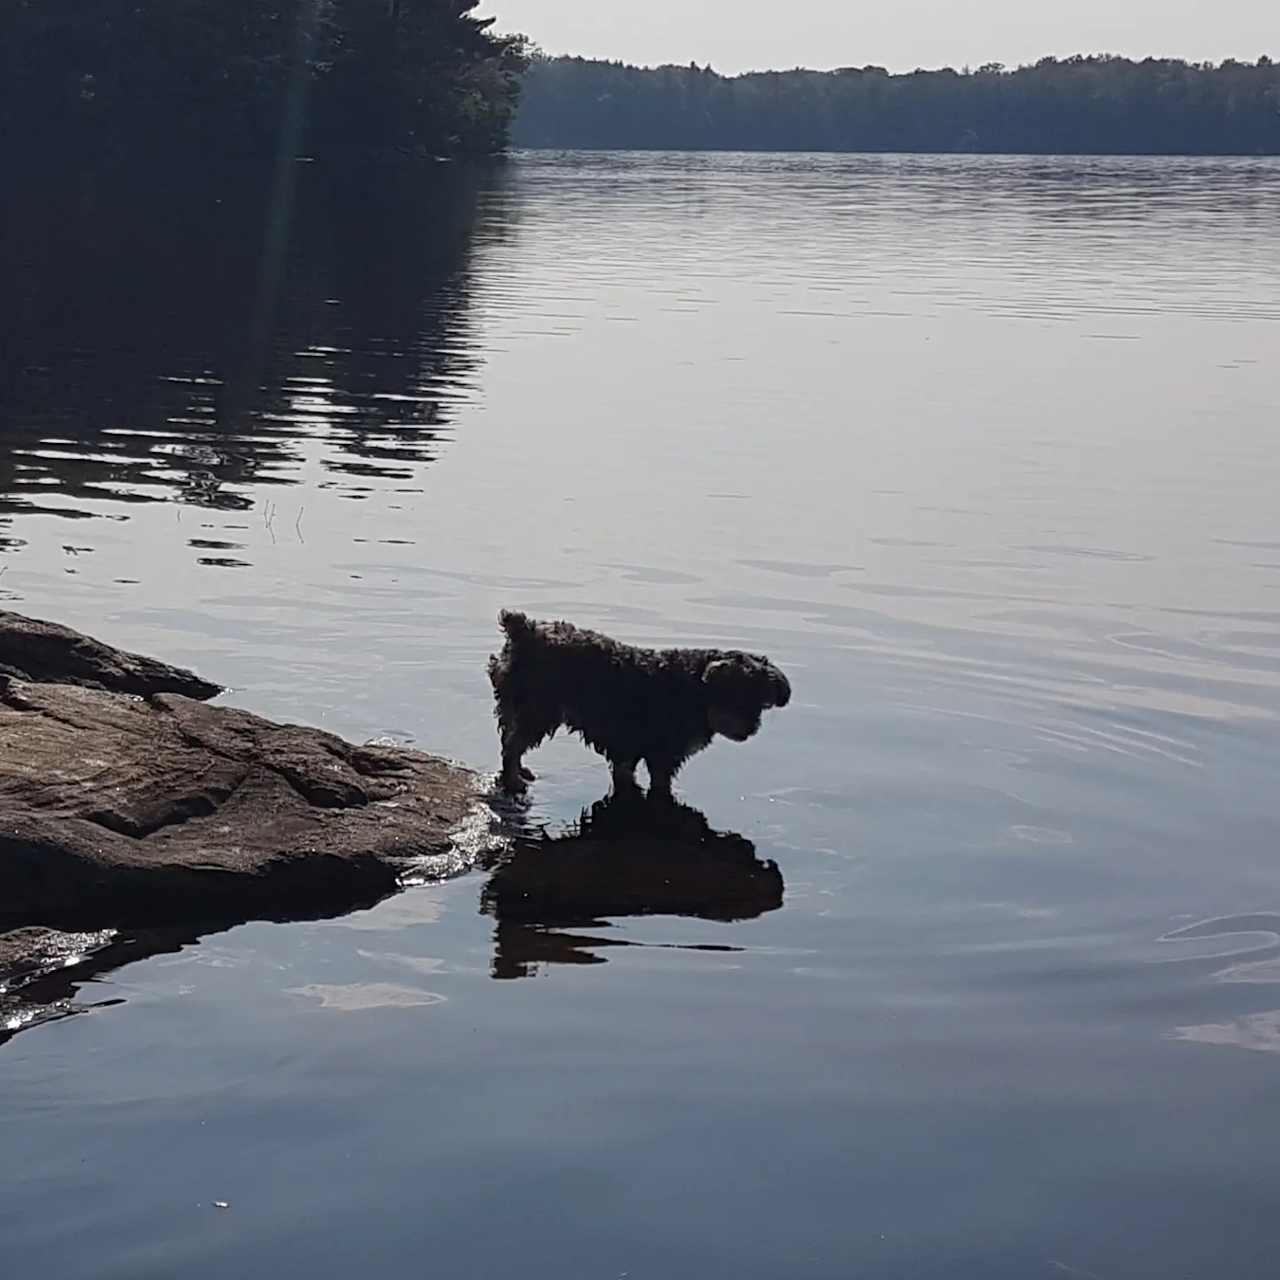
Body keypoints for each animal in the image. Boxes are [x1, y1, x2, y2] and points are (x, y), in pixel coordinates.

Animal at [488, 611, 788, 798]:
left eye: (760, 701)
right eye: (735, 696)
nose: (749, 728)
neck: (697, 690)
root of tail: (522, 631)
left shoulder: (630, 751)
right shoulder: (662, 756)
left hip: (518, 705)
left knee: (508, 738)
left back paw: (519, 772)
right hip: (538, 708)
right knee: (513, 744)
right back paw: (514, 780)